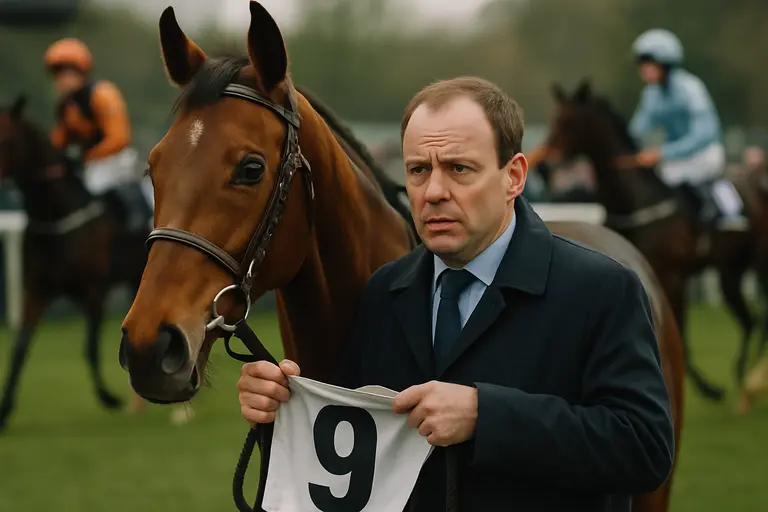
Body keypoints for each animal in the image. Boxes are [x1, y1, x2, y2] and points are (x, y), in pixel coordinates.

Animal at [0, 95, 150, 431]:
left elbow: (90, 347)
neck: (57, 216)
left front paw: (109, 398)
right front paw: (4, 409)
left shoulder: (94, 289)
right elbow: (20, 346)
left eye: (6, 140)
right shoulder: (36, 290)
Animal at [529, 80, 766, 402]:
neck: (635, 201)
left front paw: (710, 388)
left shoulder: (673, 276)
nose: (544, 167)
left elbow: (680, 336)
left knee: (755, 320)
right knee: (749, 321)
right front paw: (711, 388)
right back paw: (745, 377)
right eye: (555, 120)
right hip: (730, 271)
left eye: (571, 122)